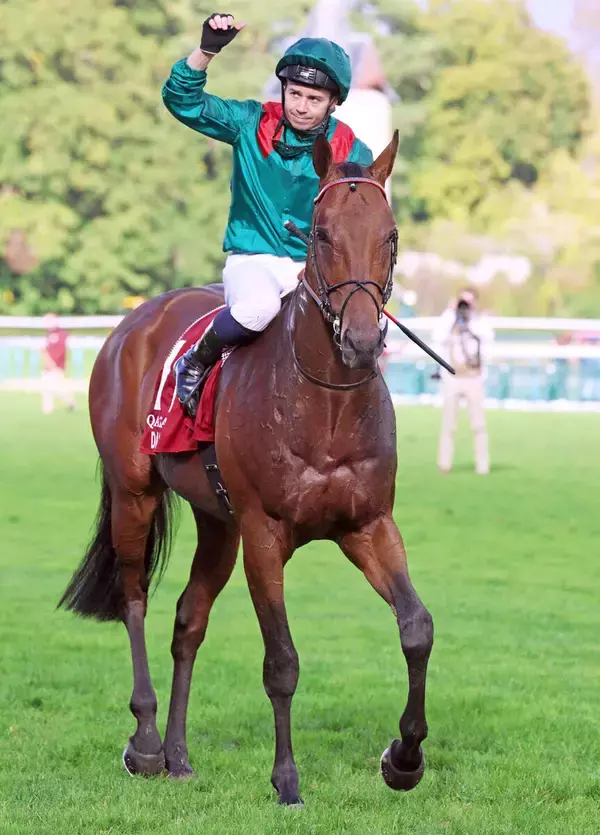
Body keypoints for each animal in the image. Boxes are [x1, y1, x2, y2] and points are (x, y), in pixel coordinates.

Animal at [59, 131, 434, 805]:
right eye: (321, 233)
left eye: (390, 235)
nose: (363, 340)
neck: (325, 406)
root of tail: (136, 320)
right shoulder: (264, 533)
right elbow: (281, 660)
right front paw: (286, 780)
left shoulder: (368, 525)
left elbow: (416, 626)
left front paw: (404, 757)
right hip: (135, 494)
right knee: (134, 600)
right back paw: (146, 742)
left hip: (218, 523)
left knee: (188, 620)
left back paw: (178, 755)